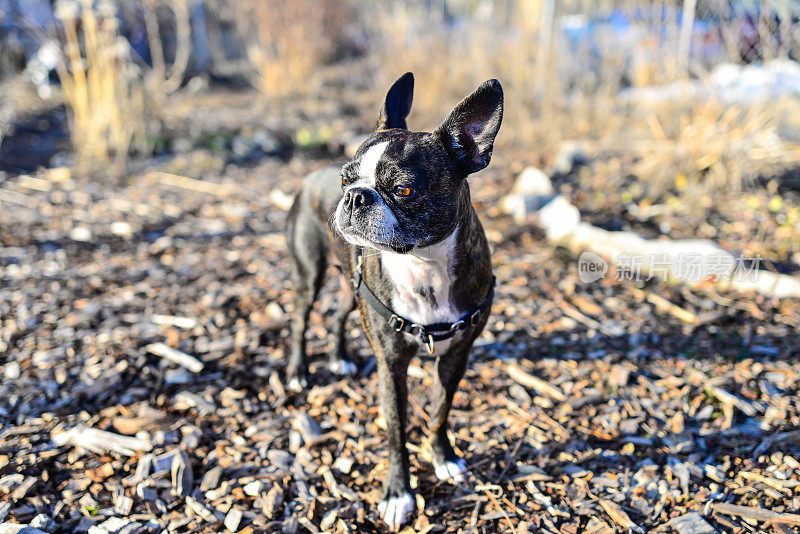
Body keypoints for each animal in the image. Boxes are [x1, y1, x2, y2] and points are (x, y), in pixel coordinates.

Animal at [284, 72, 504, 532]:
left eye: (404, 189)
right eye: (346, 180)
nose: (354, 196)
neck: (422, 266)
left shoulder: (456, 357)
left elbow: (439, 410)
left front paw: (444, 458)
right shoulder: (391, 367)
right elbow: (396, 433)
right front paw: (398, 494)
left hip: (352, 286)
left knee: (338, 314)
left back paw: (339, 357)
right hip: (309, 274)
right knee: (299, 320)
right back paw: (298, 372)